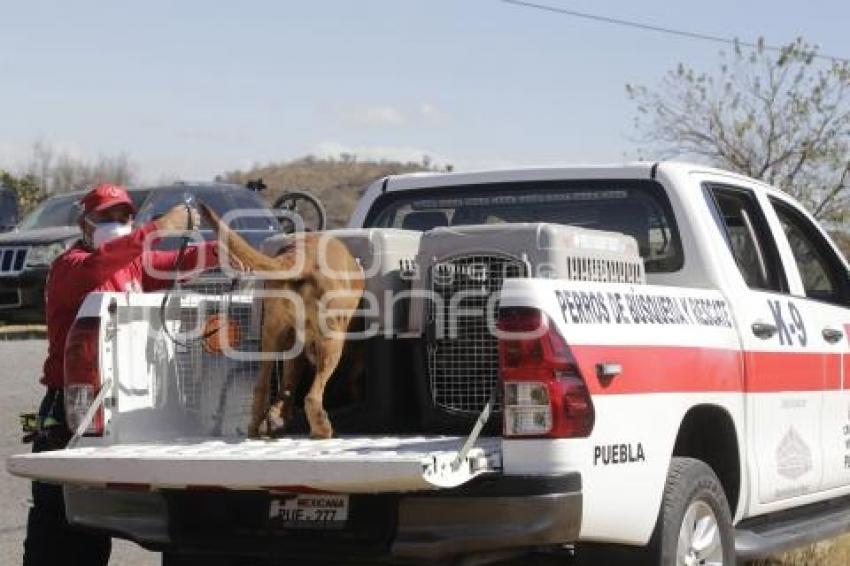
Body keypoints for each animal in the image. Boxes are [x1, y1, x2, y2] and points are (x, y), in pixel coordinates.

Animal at [200, 206, 364, 442]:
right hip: (332, 342)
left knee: (261, 387)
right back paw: (322, 429)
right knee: (312, 396)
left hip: (271, 336)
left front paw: (277, 418)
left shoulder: (294, 350)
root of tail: (299, 257)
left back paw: (256, 428)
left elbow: (286, 387)